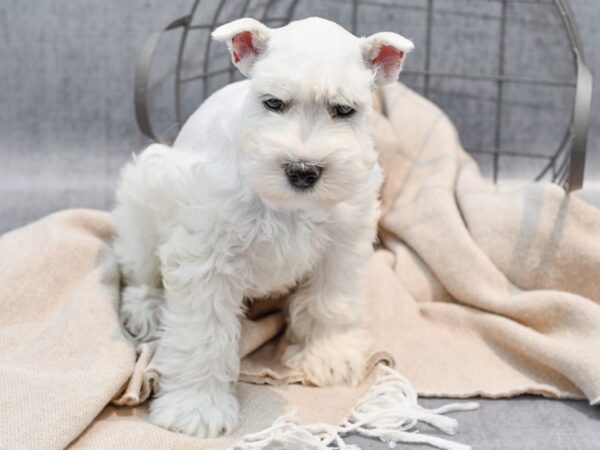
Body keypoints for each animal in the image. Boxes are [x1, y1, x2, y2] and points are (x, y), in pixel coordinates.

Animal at [112, 15, 412, 438]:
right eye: (273, 103)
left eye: (343, 109)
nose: (302, 170)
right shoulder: (205, 260)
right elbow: (202, 335)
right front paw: (196, 407)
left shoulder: (342, 244)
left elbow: (331, 303)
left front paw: (329, 356)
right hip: (143, 196)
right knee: (139, 272)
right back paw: (145, 308)